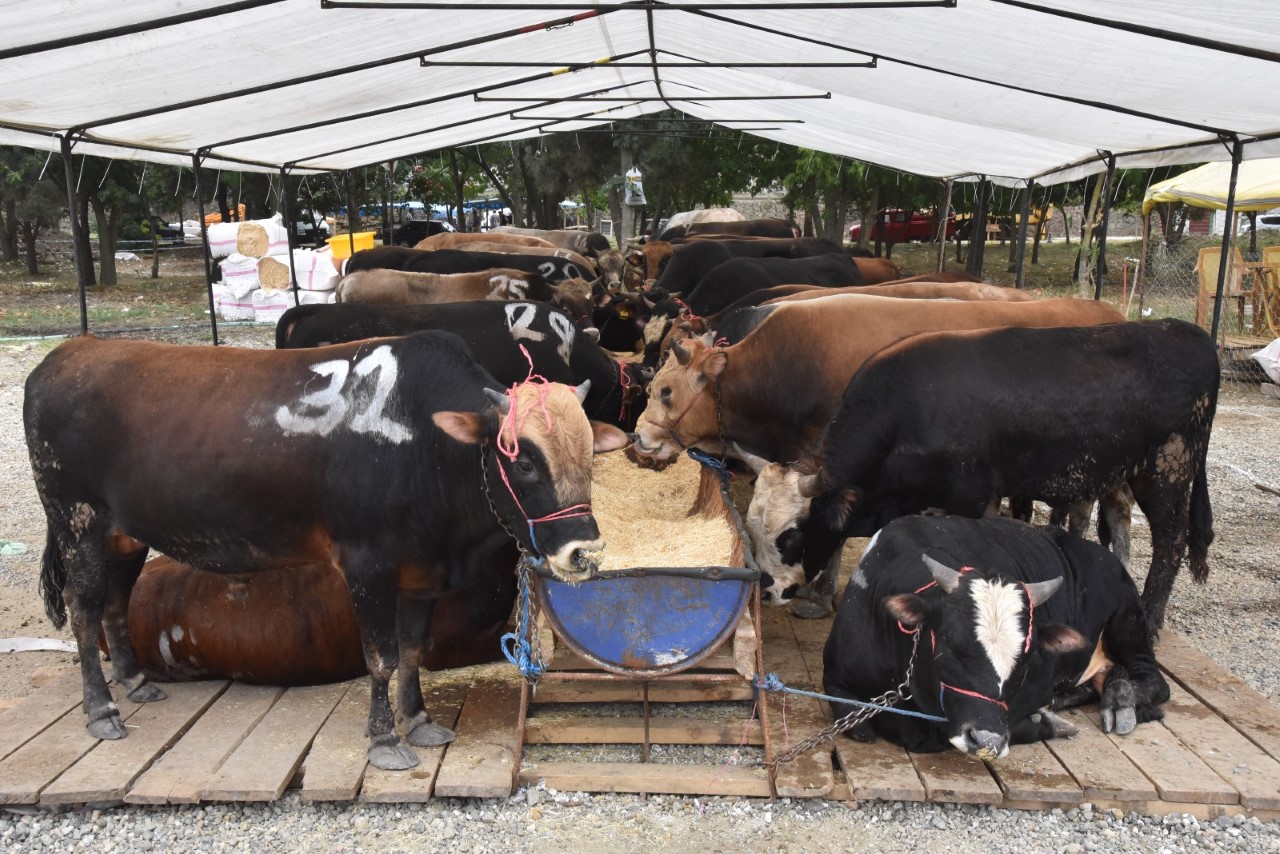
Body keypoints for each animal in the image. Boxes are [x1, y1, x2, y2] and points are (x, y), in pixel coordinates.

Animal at [26, 330, 629, 773]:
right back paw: (101, 708)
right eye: (523, 461)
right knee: (83, 614)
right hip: (79, 527)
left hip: (125, 537)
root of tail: (65, 355)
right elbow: (382, 657)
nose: (583, 552)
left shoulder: (420, 574)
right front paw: (384, 740)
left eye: (589, 456)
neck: (420, 439)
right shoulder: (367, 568)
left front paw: (418, 720)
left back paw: (134, 683)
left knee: (113, 604)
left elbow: (412, 649)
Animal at [747, 320, 1218, 627]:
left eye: (791, 535)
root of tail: (1189, 333)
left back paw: (1151, 621)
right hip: (1117, 473)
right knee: (1120, 525)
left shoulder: (971, 499)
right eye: (752, 531)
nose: (766, 589)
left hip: (1168, 472)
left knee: (1170, 544)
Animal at [824, 514, 1172, 752]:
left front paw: (1043, 722)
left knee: (1154, 680)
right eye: (949, 643)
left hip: (1127, 621)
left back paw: (1119, 701)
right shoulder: (835, 680)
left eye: (1027, 658)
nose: (985, 739)